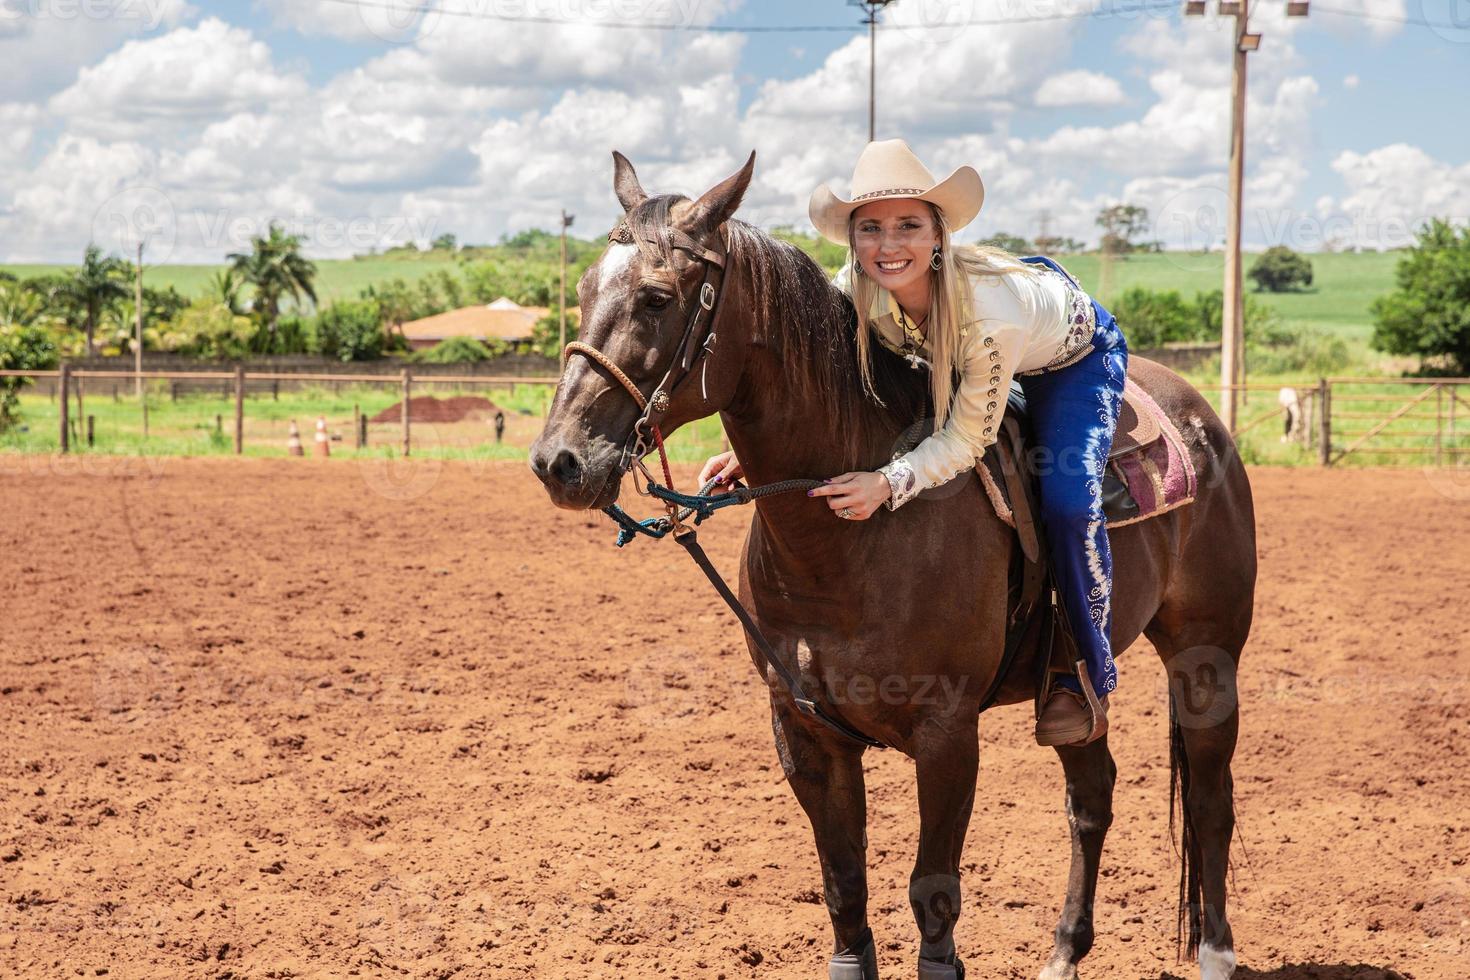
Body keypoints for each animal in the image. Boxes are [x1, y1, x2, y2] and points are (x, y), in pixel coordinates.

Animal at [529, 153, 1252, 980]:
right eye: (585, 289)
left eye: (656, 297)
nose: (559, 461)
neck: (842, 551)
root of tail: (1202, 421)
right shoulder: (806, 731)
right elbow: (845, 883)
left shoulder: (947, 736)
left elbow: (932, 893)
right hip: (1079, 686)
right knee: (1092, 796)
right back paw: (1064, 951)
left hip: (1206, 657)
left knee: (1211, 800)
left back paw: (1216, 954)